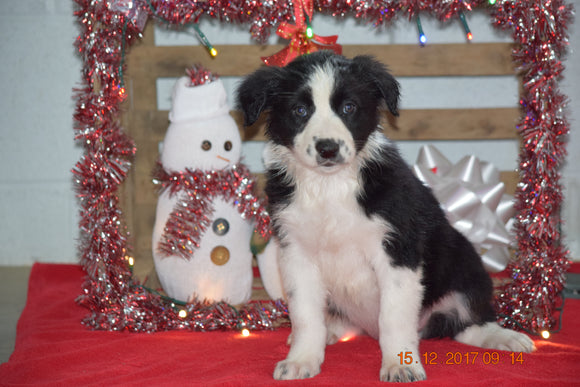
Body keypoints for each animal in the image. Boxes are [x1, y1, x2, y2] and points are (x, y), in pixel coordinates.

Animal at [236, 50, 536, 382]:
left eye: (349, 108)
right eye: (300, 110)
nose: (327, 149)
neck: (330, 186)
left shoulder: (398, 250)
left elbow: (394, 317)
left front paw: (400, 363)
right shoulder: (296, 253)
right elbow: (305, 316)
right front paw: (302, 359)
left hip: (464, 263)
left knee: (467, 322)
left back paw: (502, 337)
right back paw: (332, 330)